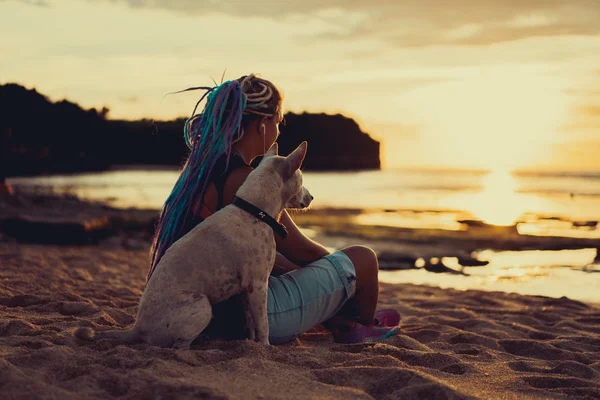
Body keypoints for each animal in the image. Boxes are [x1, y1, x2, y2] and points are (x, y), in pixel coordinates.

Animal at [75, 142, 314, 348]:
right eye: (302, 180)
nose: (312, 197)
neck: (254, 211)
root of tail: (137, 329)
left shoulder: (247, 291)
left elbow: (252, 324)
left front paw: (252, 344)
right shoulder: (258, 285)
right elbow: (263, 325)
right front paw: (265, 347)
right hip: (202, 306)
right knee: (178, 346)